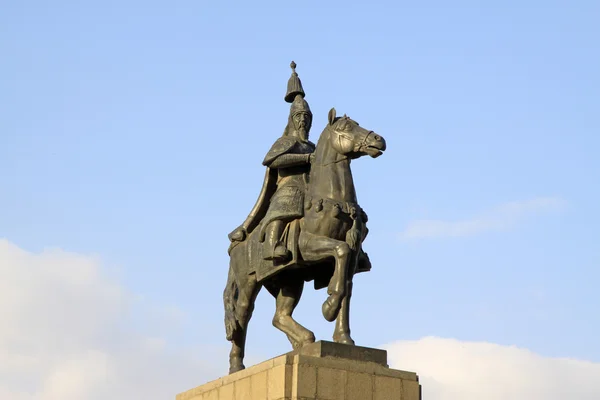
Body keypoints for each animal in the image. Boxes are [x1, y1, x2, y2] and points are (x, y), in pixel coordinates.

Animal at [223, 108, 386, 374]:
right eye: (346, 127)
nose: (379, 140)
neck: (336, 201)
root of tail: (236, 245)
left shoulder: (351, 260)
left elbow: (346, 288)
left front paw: (344, 338)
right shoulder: (309, 246)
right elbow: (339, 253)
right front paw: (328, 307)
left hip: (290, 279)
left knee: (279, 315)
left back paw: (304, 340)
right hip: (248, 283)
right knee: (241, 318)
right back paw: (237, 366)